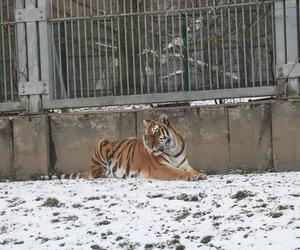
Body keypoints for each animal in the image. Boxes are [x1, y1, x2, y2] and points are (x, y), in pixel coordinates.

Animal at [71, 114, 206, 181]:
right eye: (147, 136)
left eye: (156, 133)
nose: (150, 146)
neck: (172, 149)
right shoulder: (160, 168)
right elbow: (177, 172)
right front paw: (193, 176)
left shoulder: (184, 164)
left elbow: (191, 169)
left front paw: (200, 173)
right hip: (102, 142)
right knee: (99, 174)